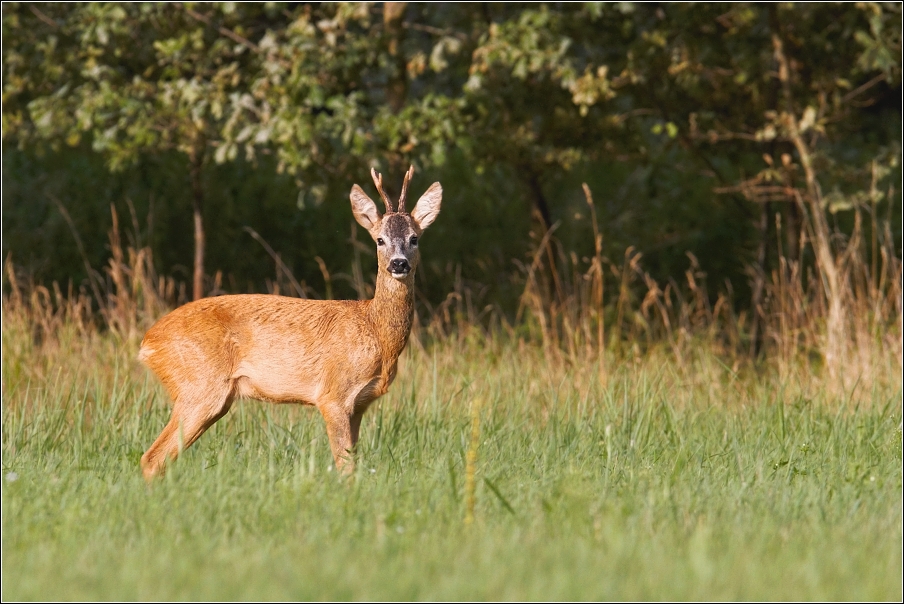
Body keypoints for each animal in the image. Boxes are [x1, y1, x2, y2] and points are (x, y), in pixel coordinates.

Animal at [137, 166, 442, 482]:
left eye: (414, 238)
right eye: (380, 240)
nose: (399, 264)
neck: (376, 332)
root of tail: (148, 342)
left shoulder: (359, 404)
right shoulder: (332, 395)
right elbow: (344, 466)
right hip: (199, 386)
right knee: (152, 457)